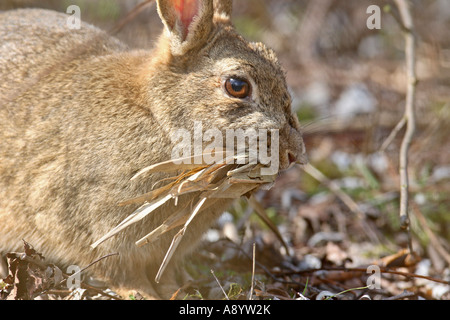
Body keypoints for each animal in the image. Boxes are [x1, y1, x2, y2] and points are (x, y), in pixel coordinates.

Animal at [0, 0, 306, 300]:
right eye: (237, 86)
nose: (293, 153)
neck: (158, 116)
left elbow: (164, 272)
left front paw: (176, 292)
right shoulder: (95, 229)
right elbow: (119, 272)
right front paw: (142, 293)